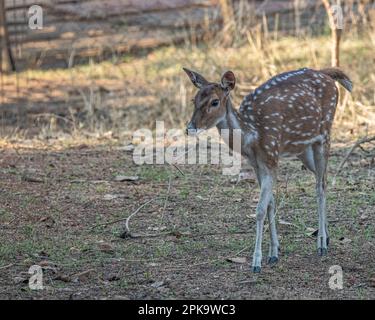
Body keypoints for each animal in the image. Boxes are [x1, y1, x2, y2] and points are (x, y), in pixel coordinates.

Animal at [184, 67, 354, 272]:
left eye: (214, 101)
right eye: (194, 99)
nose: (190, 128)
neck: (252, 136)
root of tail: (327, 75)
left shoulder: (272, 157)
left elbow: (259, 210)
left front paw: (256, 262)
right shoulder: (256, 164)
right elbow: (270, 204)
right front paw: (274, 252)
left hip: (324, 133)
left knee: (320, 186)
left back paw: (321, 243)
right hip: (303, 149)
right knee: (324, 179)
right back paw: (327, 237)